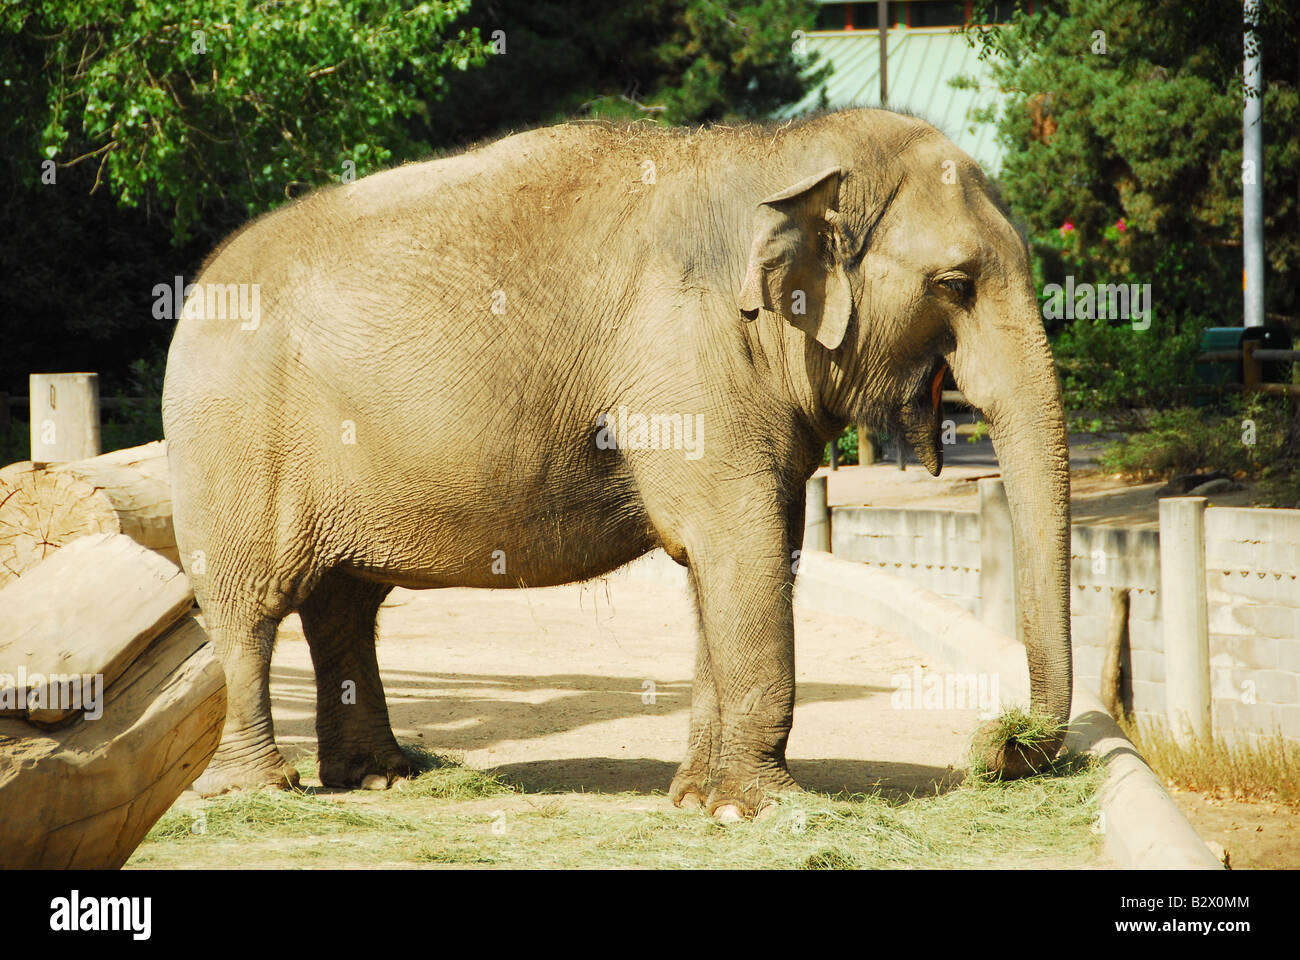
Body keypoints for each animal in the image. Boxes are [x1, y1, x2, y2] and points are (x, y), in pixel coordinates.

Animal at [162, 108, 1072, 818]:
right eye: (954, 284)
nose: (1001, 747)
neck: (780, 154)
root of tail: (198, 285)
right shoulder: (685, 363)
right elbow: (738, 544)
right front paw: (761, 810)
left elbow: (740, 553)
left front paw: (699, 801)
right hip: (231, 440)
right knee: (250, 607)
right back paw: (257, 789)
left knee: (343, 605)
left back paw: (381, 780)